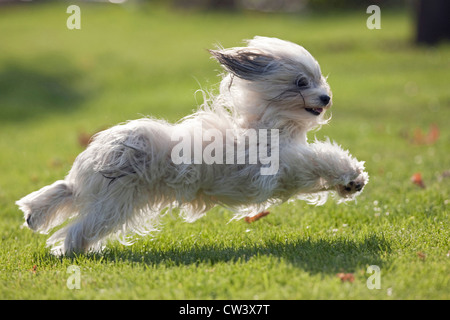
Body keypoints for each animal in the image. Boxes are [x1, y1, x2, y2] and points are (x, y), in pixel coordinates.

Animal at [16, 36, 370, 255]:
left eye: (319, 80)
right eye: (301, 82)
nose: (326, 98)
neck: (271, 123)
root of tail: (106, 146)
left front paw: (350, 184)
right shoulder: (282, 164)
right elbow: (321, 158)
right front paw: (352, 173)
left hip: (101, 192)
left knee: (66, 191)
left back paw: (33, 214)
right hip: (115, 203)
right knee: (80, 227)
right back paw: (68, 250)